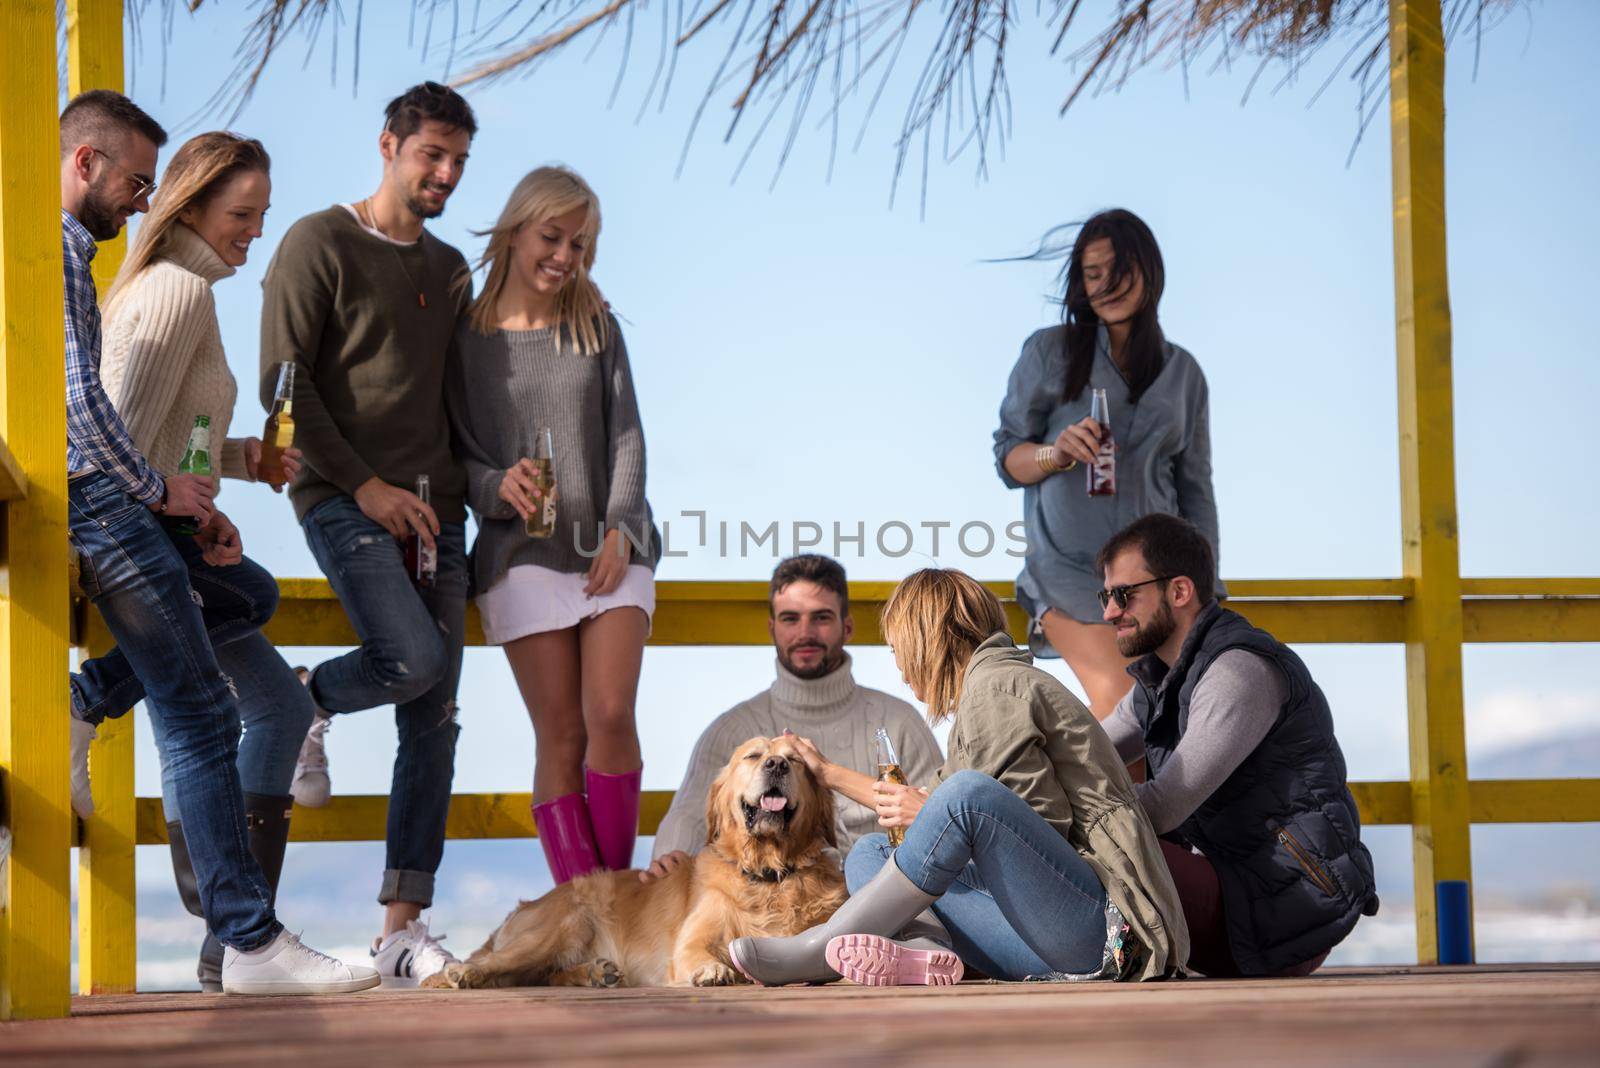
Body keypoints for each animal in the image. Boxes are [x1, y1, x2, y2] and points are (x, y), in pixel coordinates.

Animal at [425, 738, 851, 991]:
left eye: (796, 760)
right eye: (753, 756)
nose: (777, 764)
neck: (769, 874)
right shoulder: (691, 940)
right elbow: (699, 952)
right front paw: (713, 970)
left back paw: (596, 972)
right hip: (561, 924)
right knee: (502, 964)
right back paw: (465, 972)